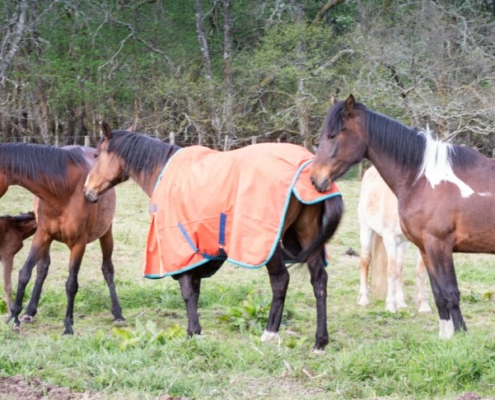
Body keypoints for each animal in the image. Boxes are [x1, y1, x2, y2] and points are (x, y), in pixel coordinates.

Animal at [0, 144, 126, 334]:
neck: (62, 190)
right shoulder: (42, 234)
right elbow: (25, 273)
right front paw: (14, 316)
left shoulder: (79, 243)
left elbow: (71, 284)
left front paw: (68, 325)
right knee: (42, 269)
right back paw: (29, 311)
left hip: (106, 234)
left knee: (108, 269)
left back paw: (118, 314)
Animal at [82, 122, 344, 350]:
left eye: (96, 155)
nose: (87, 191)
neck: (164, 172)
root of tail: (310, 170)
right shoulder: (198, 251)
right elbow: (195, 289)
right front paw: (194, 331)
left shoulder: (180, 245)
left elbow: (187, 291)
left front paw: (193, 332)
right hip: (306, 235)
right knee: (319, 280)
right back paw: (320, 341)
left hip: (266, 242)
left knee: (280, 280)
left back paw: (270, 333)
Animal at [358, 164, 432, 314]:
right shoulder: (390, 239)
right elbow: (391, 270)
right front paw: (390, 306)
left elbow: (420, 271)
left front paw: (424, 306)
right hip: (366, 228)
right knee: (365, 260)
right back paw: (363, 299)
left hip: (403, 243)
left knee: (399, 265)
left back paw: (401, 302)